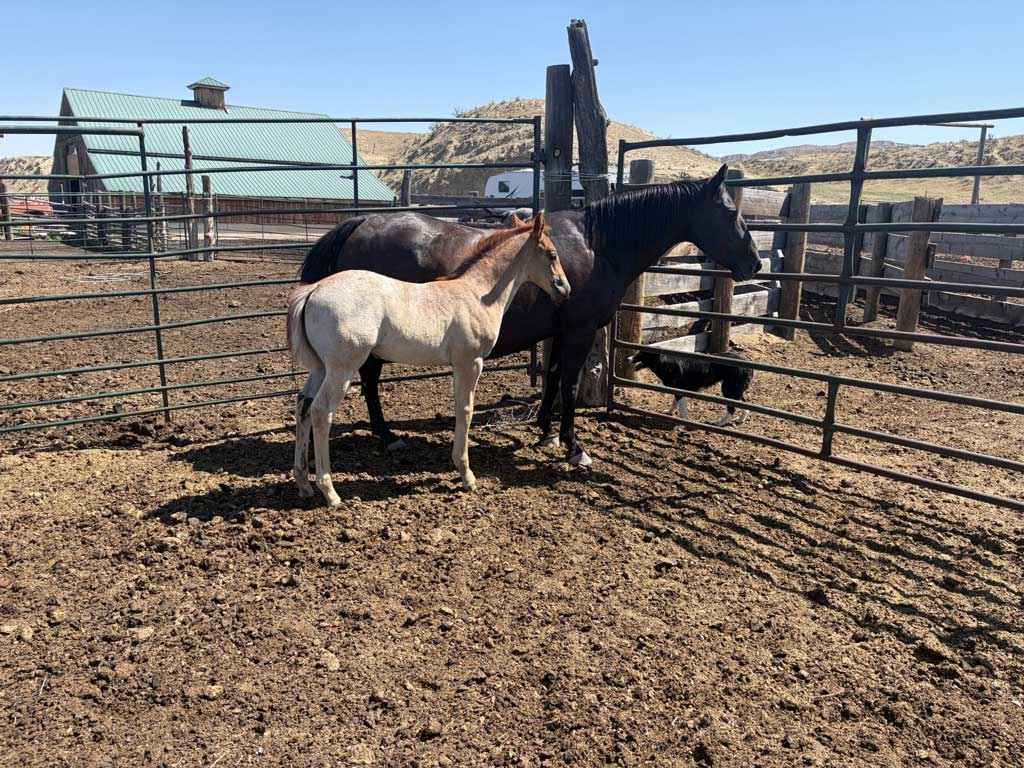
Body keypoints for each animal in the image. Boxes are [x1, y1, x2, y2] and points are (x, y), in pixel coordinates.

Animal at [287, 213, 569, 506]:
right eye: (551, 254)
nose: (565, 289)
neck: (477, 294)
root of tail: (314, 290)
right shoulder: (470, 363)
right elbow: (465, 411)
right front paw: (466, 475)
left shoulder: (459, 366)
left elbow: (459, 409)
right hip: (342, 368)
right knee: (321, 411)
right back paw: (329, 491)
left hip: (320, 368)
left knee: (303, 405)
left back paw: (303, 482)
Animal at [298, 164, 760, 468]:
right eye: (730, 212)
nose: (754, 262)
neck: (596, 243)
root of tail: (360, 223)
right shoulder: (579, 330)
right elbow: (569, 386)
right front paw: (574, 447)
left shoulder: (557, 330)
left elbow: (553, 381)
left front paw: (546, 432)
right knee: (369, 380)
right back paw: (386, 436)